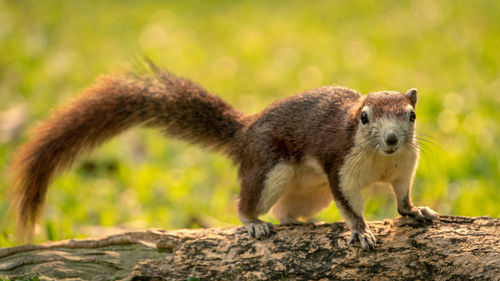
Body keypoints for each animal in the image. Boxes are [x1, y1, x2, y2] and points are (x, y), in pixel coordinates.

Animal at [8, 63, 438, 249]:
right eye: (364, 118)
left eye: (412, 115)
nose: (392, 139)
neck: (380, 160)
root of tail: (244, 132)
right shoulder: (341, 166)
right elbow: (350, 203)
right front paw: (361, 230)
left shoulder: (404, 166)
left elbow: (402, 196)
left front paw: (416, 211)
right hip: (270, 169)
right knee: (248, 203)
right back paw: (254, 224)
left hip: (308, 191)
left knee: (288, 211)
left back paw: (303, 223)